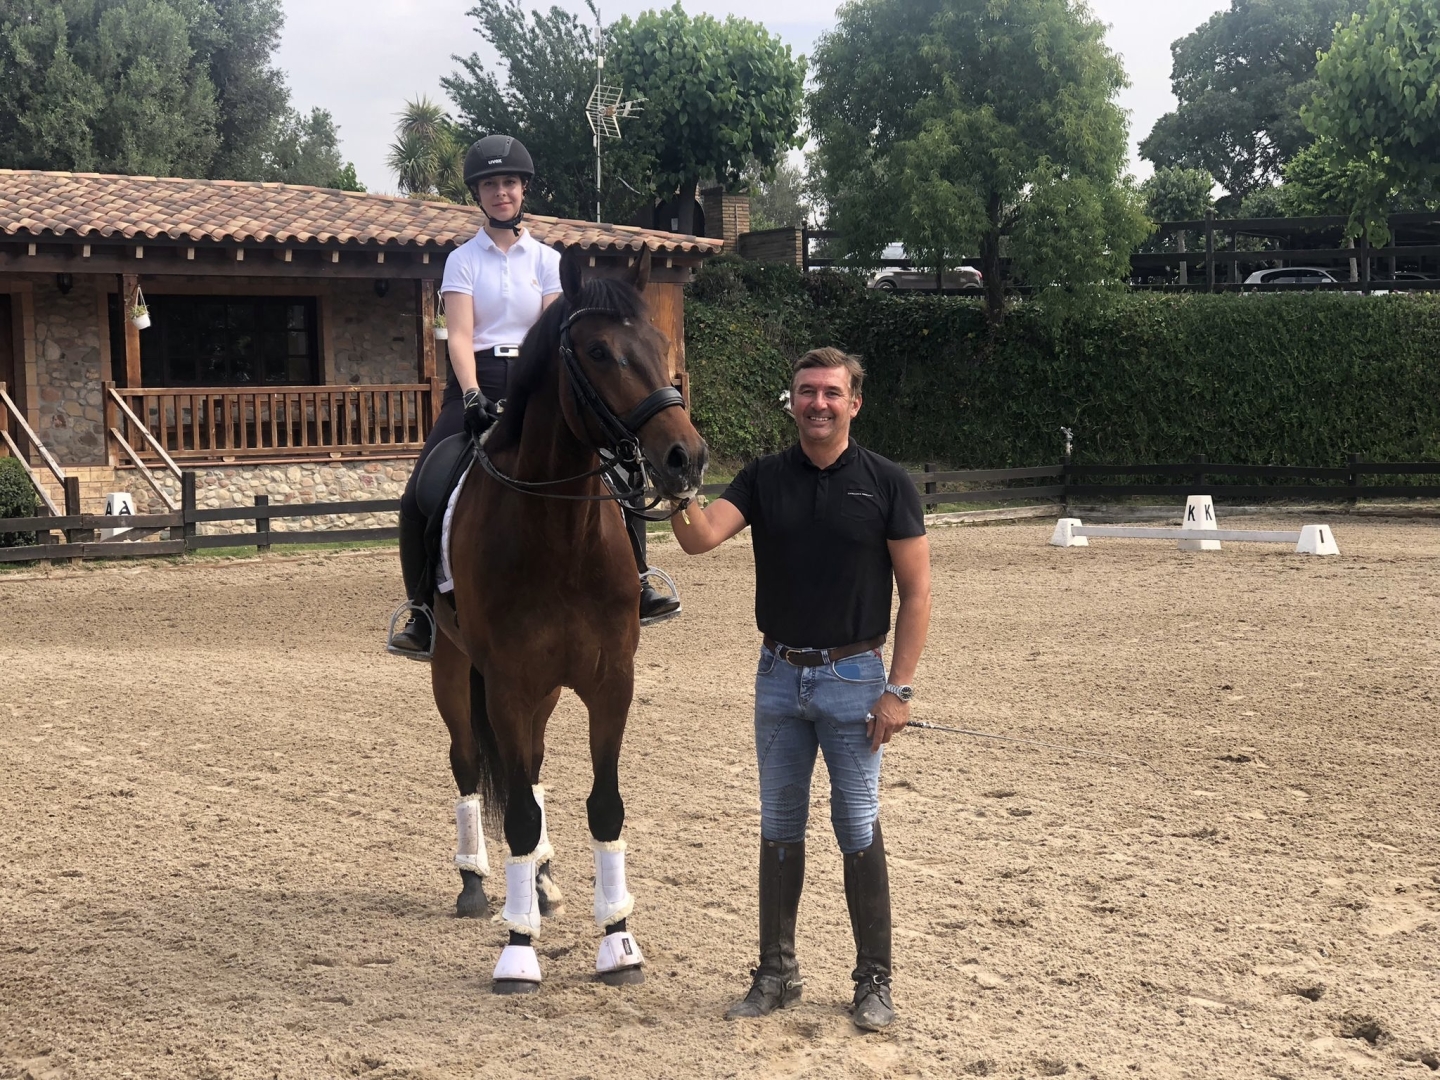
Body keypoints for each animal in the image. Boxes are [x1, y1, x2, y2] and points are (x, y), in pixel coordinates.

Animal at [430, 246, 708, 993]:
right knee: (469, 764)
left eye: (661, 344)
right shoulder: (506, 684)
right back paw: (477, 883)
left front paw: (618, 940)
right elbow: (519, 812)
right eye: (600, 351)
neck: (556, 535)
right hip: (451, 666)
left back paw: (545, 881)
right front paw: (518, 949)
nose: (686, 458)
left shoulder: (610, 682)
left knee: (532, 765)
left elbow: (601, 805)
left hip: (549, 689)